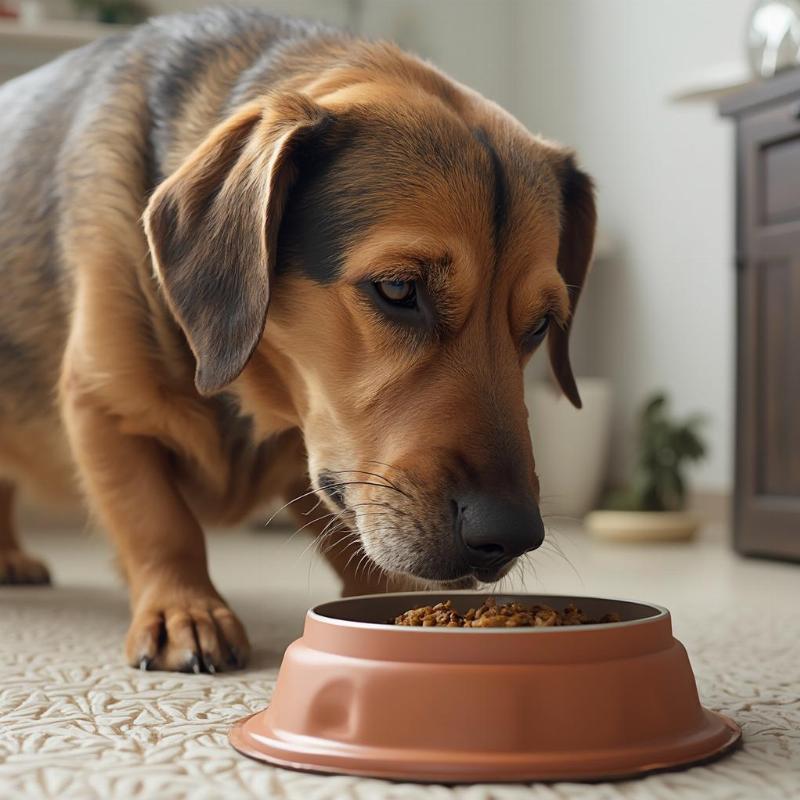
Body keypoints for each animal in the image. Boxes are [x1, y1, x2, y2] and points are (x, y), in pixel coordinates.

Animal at [0, 10, 592, 676]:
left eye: (540, 325)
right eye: (398, 288)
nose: (511, 534)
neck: (257, 388)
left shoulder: (322, 455)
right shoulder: (101, 406)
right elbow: (158, 521)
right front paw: (186, 609)